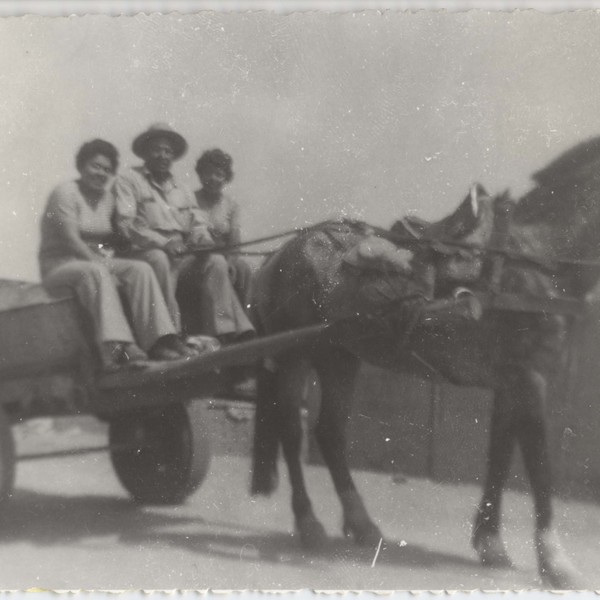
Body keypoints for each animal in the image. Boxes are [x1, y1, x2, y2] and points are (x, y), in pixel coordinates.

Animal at [250, 137, 600, 592]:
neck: (537, 262)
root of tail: (277, 256)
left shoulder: (510, 383)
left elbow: (500, 457)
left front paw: (491, 543)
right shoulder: (530, 378)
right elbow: (539, 466)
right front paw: (556, 563)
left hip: (339, 356)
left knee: (329, 432)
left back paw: (363, 525)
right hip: (294, 355)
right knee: (293, 433)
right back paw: (309, 523)